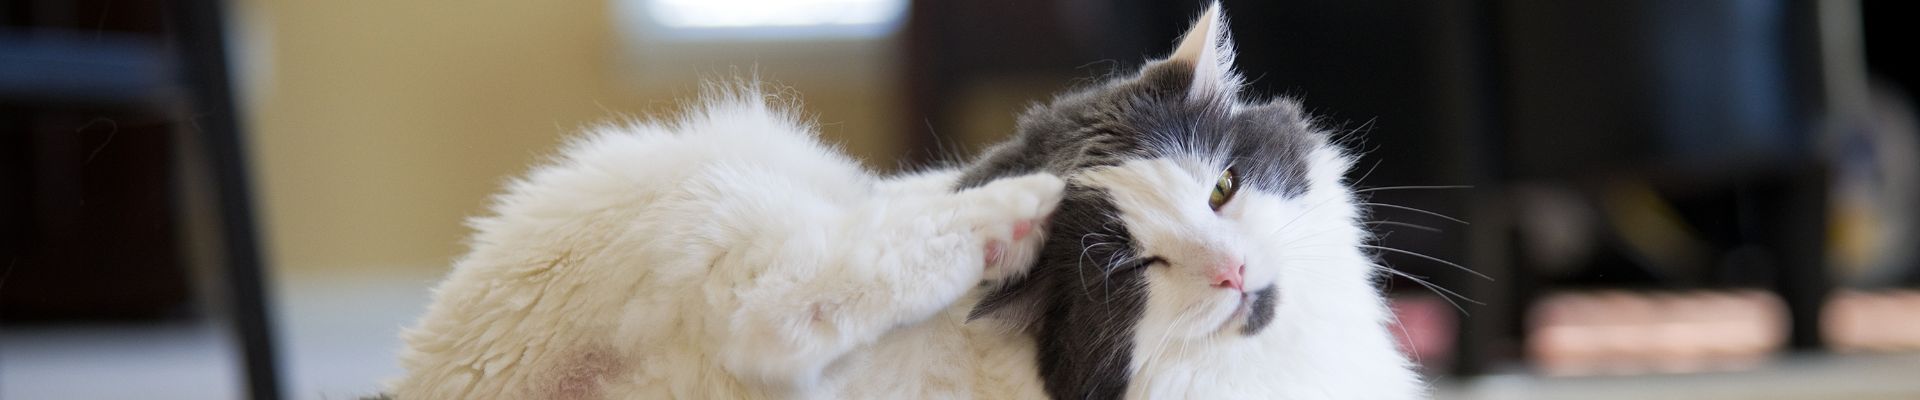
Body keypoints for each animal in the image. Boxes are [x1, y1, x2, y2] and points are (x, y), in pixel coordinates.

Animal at [385, 3, 1428, 400]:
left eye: (1223, 188)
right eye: (1136, 266)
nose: (1235, 271)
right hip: (733, 176)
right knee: (778, 308)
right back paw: (1017, 209)